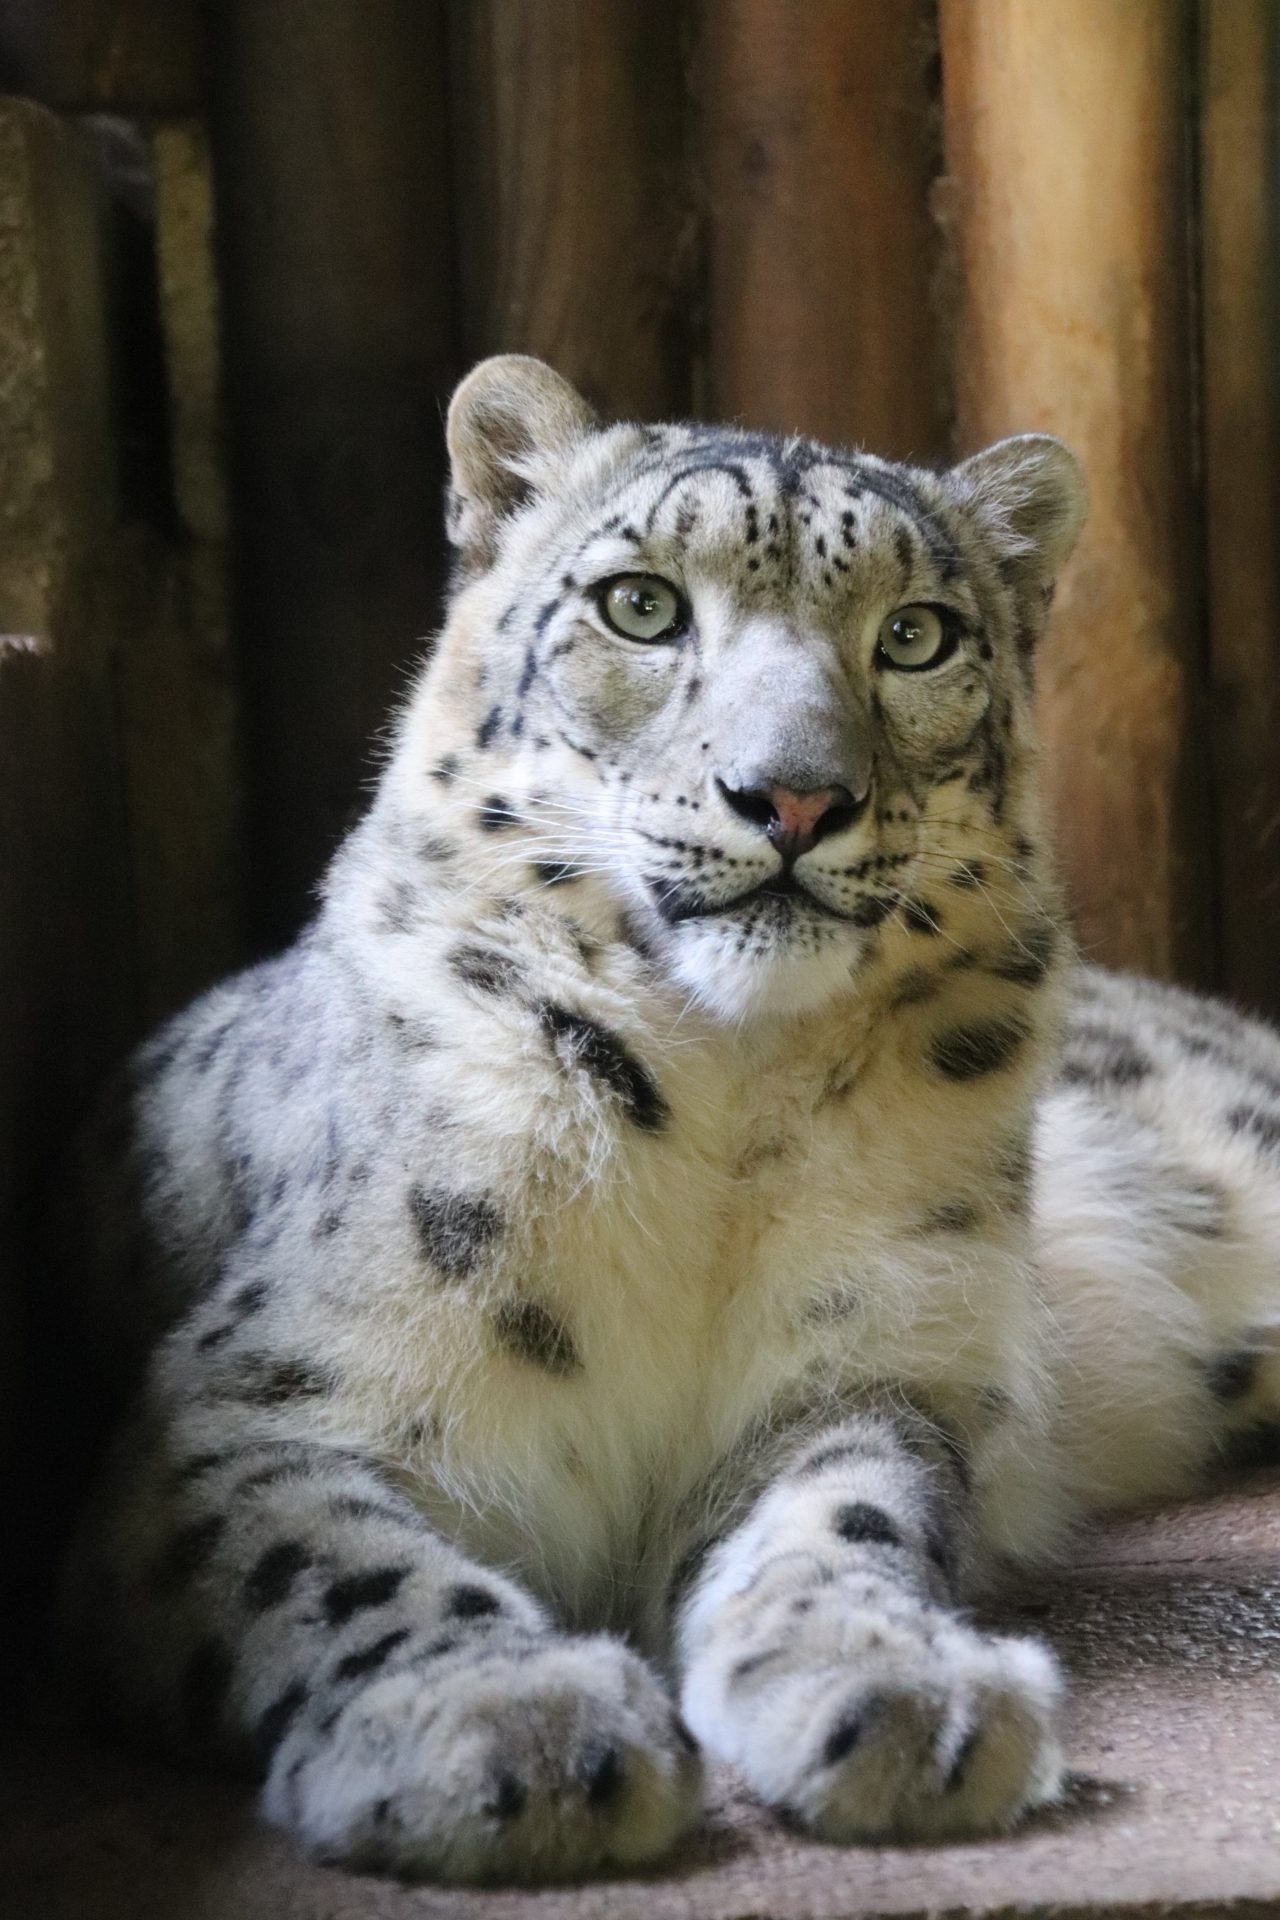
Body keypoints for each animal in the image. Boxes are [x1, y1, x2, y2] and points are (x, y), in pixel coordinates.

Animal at [55, 354, 1280, 1884]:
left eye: (917, 635)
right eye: (639, 604)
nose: (796, 796)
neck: (722, 1115)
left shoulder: (863, 1366)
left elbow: (846, 1517)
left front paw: (894, 1687)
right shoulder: (259, 1400)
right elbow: (331, 1554)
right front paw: (505, 1722)